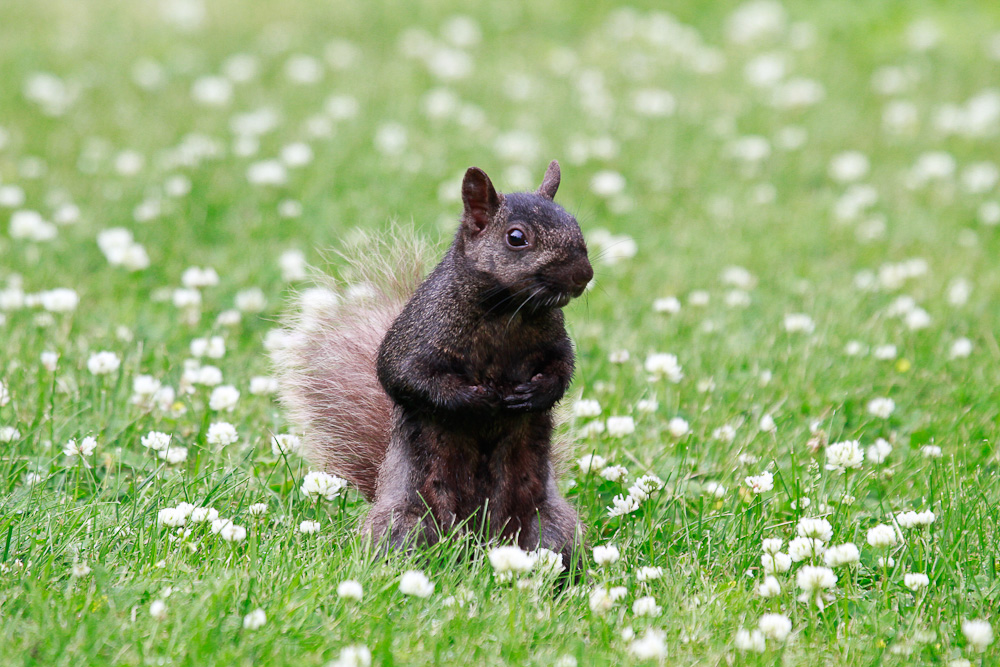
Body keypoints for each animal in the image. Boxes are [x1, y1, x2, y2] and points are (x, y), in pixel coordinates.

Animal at [272, 162, 592, 576]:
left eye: (575, 224)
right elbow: (403, 376)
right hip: (408, 523)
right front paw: (477, 400)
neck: (508, 312)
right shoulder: (417, 335)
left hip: (548, 525)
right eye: (516, 238)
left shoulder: (554, 341)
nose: (583, 275)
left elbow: (562, 369)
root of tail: (480, 545)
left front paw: (536, 393)